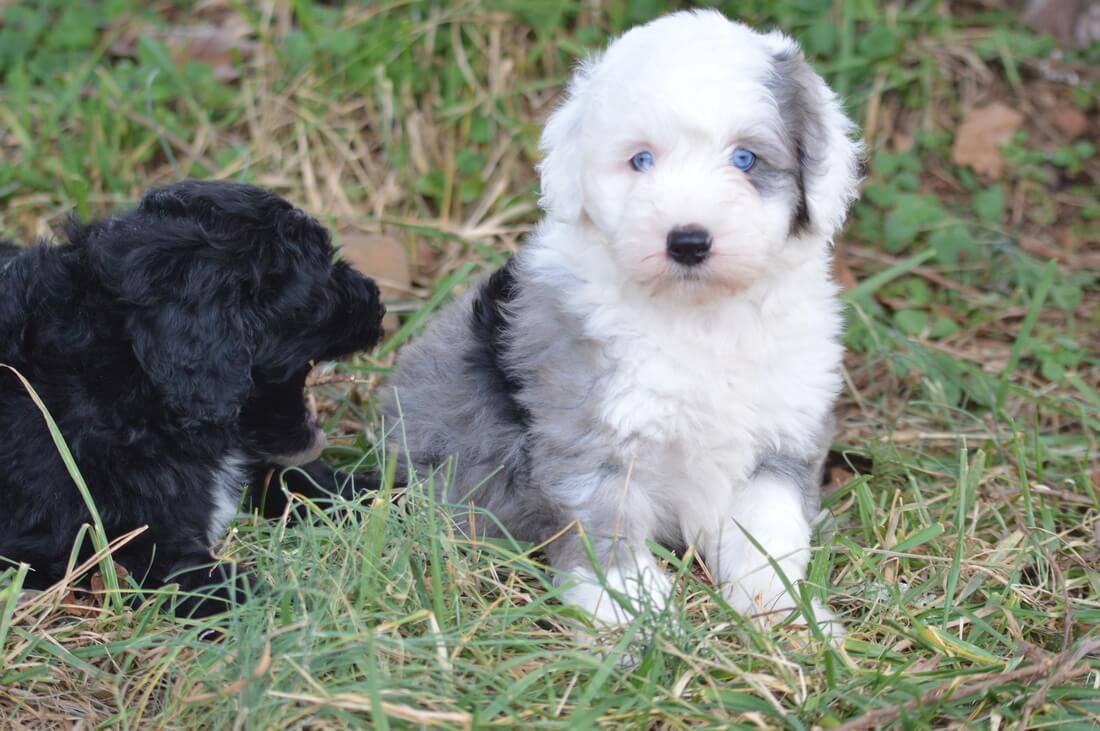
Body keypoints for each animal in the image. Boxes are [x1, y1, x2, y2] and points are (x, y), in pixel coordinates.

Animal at [0, 179, 387, 611]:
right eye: (323, 275)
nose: (377, 301)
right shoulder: (103, 539)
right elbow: (203, 577)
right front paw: (293, 605)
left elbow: (305, 481)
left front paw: (402, 493)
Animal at [382, 8, 862, 628]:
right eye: (641, 160)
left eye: (745, 159)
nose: (688, 242)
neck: (699, 317)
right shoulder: (592, 434)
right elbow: (605, 525)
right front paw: (636, 618)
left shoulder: (783, 433)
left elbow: (769, 528)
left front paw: (779, 610)